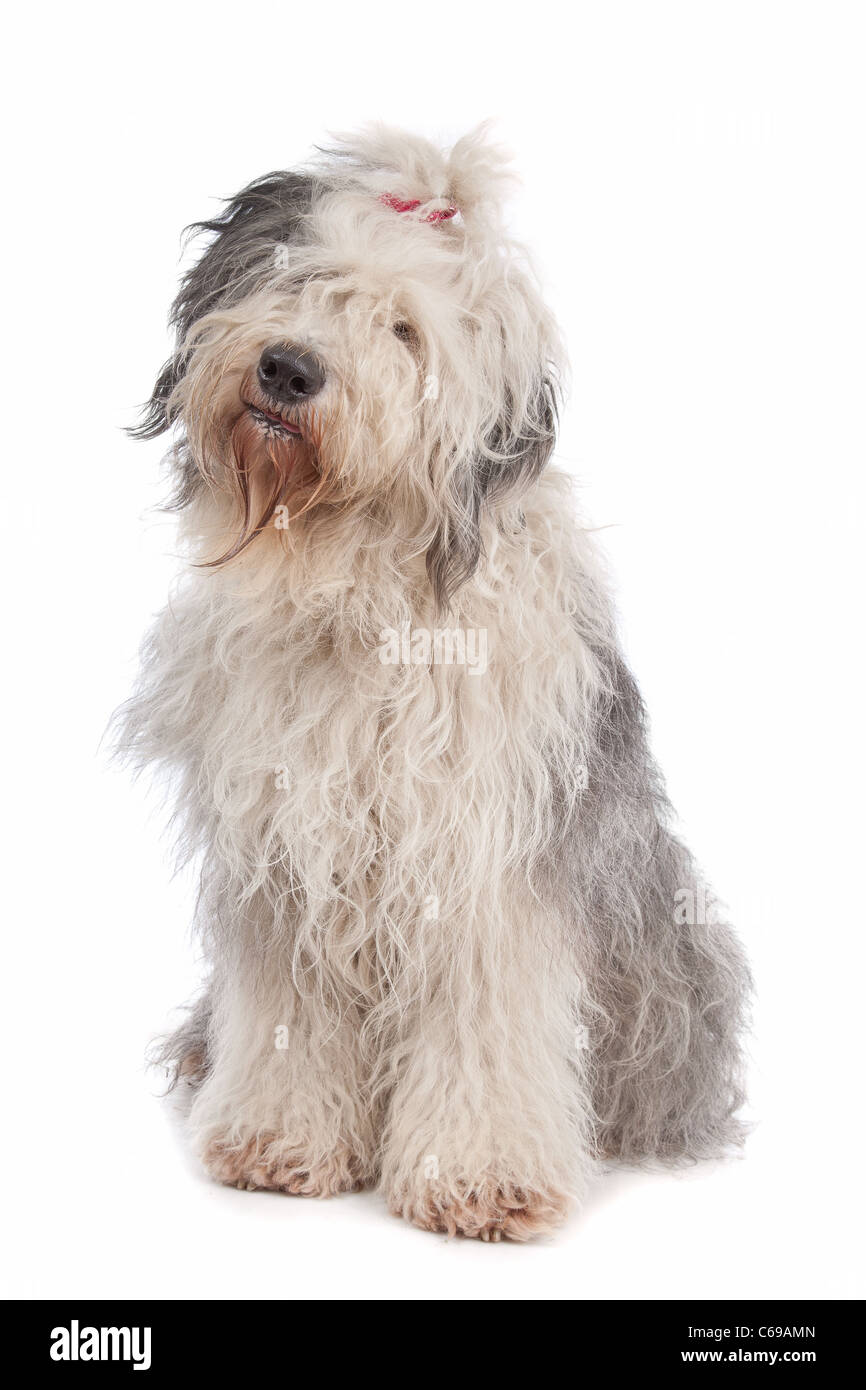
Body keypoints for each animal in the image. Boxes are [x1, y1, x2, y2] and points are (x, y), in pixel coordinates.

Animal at [118, 127, 750, 1239]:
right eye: (302, 277)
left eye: (404, 331)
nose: (288, 368)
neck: (358, 592)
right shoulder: (286, 857)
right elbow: (289, 1014)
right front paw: (277, 1142)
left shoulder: (488, 871)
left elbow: (486, 1021)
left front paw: (481, 1177)